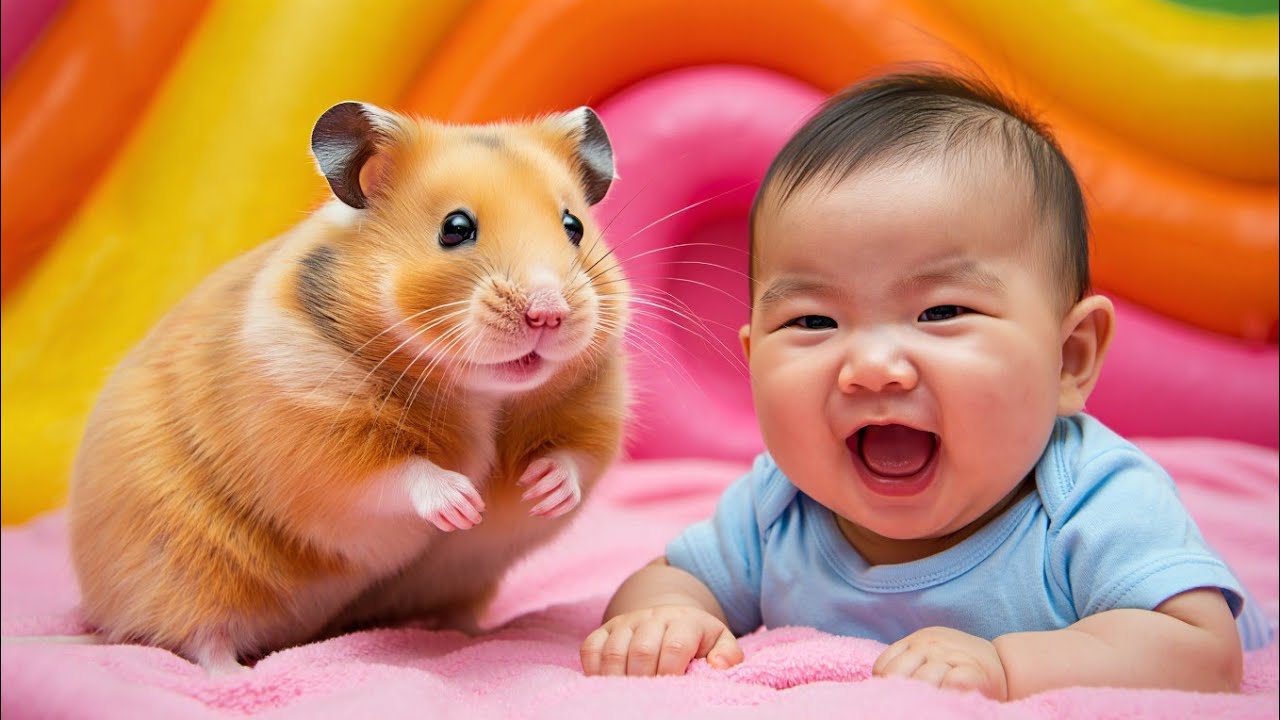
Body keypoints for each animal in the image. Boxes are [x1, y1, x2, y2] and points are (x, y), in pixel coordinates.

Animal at [65, 101, 630, 673]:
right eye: (455, 228)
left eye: (573, 226)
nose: (548, 313)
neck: (483, 392)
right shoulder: (316, 443)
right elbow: (396, 476)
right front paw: (463, 503)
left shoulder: (596, 410)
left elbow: (574, 458)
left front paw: (542, 489)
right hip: (187, 573)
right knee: (196, 638)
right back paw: (231, 675)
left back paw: (470, 632)